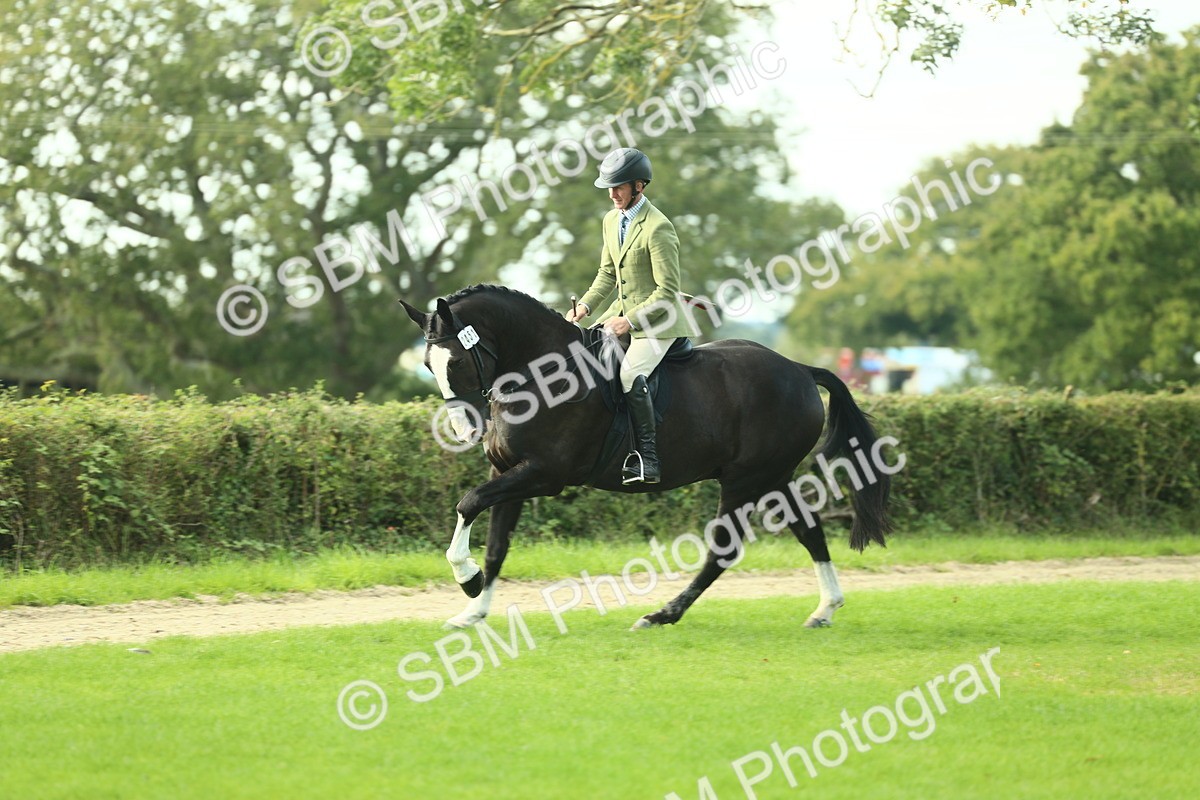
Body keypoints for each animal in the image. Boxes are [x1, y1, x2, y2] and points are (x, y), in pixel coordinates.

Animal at [399, 284, 892, 630]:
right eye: (427, 365)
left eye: (456, 362)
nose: (466, 430)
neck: (542, 374)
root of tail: (800, 369)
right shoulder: (507, 471)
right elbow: (497, 546)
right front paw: (473, 610)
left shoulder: (543, 475)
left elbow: (468, 503)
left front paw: (466, 579)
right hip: (775, 476)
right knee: (809, 531)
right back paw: (825, 609)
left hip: (745, 480)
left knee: (723, 550)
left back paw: (661, 615)